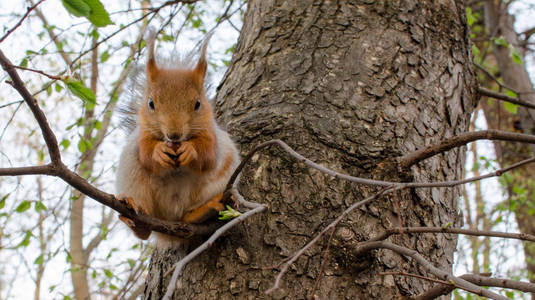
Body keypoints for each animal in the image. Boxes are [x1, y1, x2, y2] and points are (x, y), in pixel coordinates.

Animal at [115, 30, 241, 246]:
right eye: (150, 103)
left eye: (198, 104)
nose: (174, 134)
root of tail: (168, 227)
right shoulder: (142, 137)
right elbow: (147, 156)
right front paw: (158, 152)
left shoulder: (211, 135)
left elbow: (208, 156)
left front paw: (191, 150)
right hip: (133, 178)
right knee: (144, 231)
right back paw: (135, 215)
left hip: (222, 176)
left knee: (186, 216)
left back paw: (204, 210)